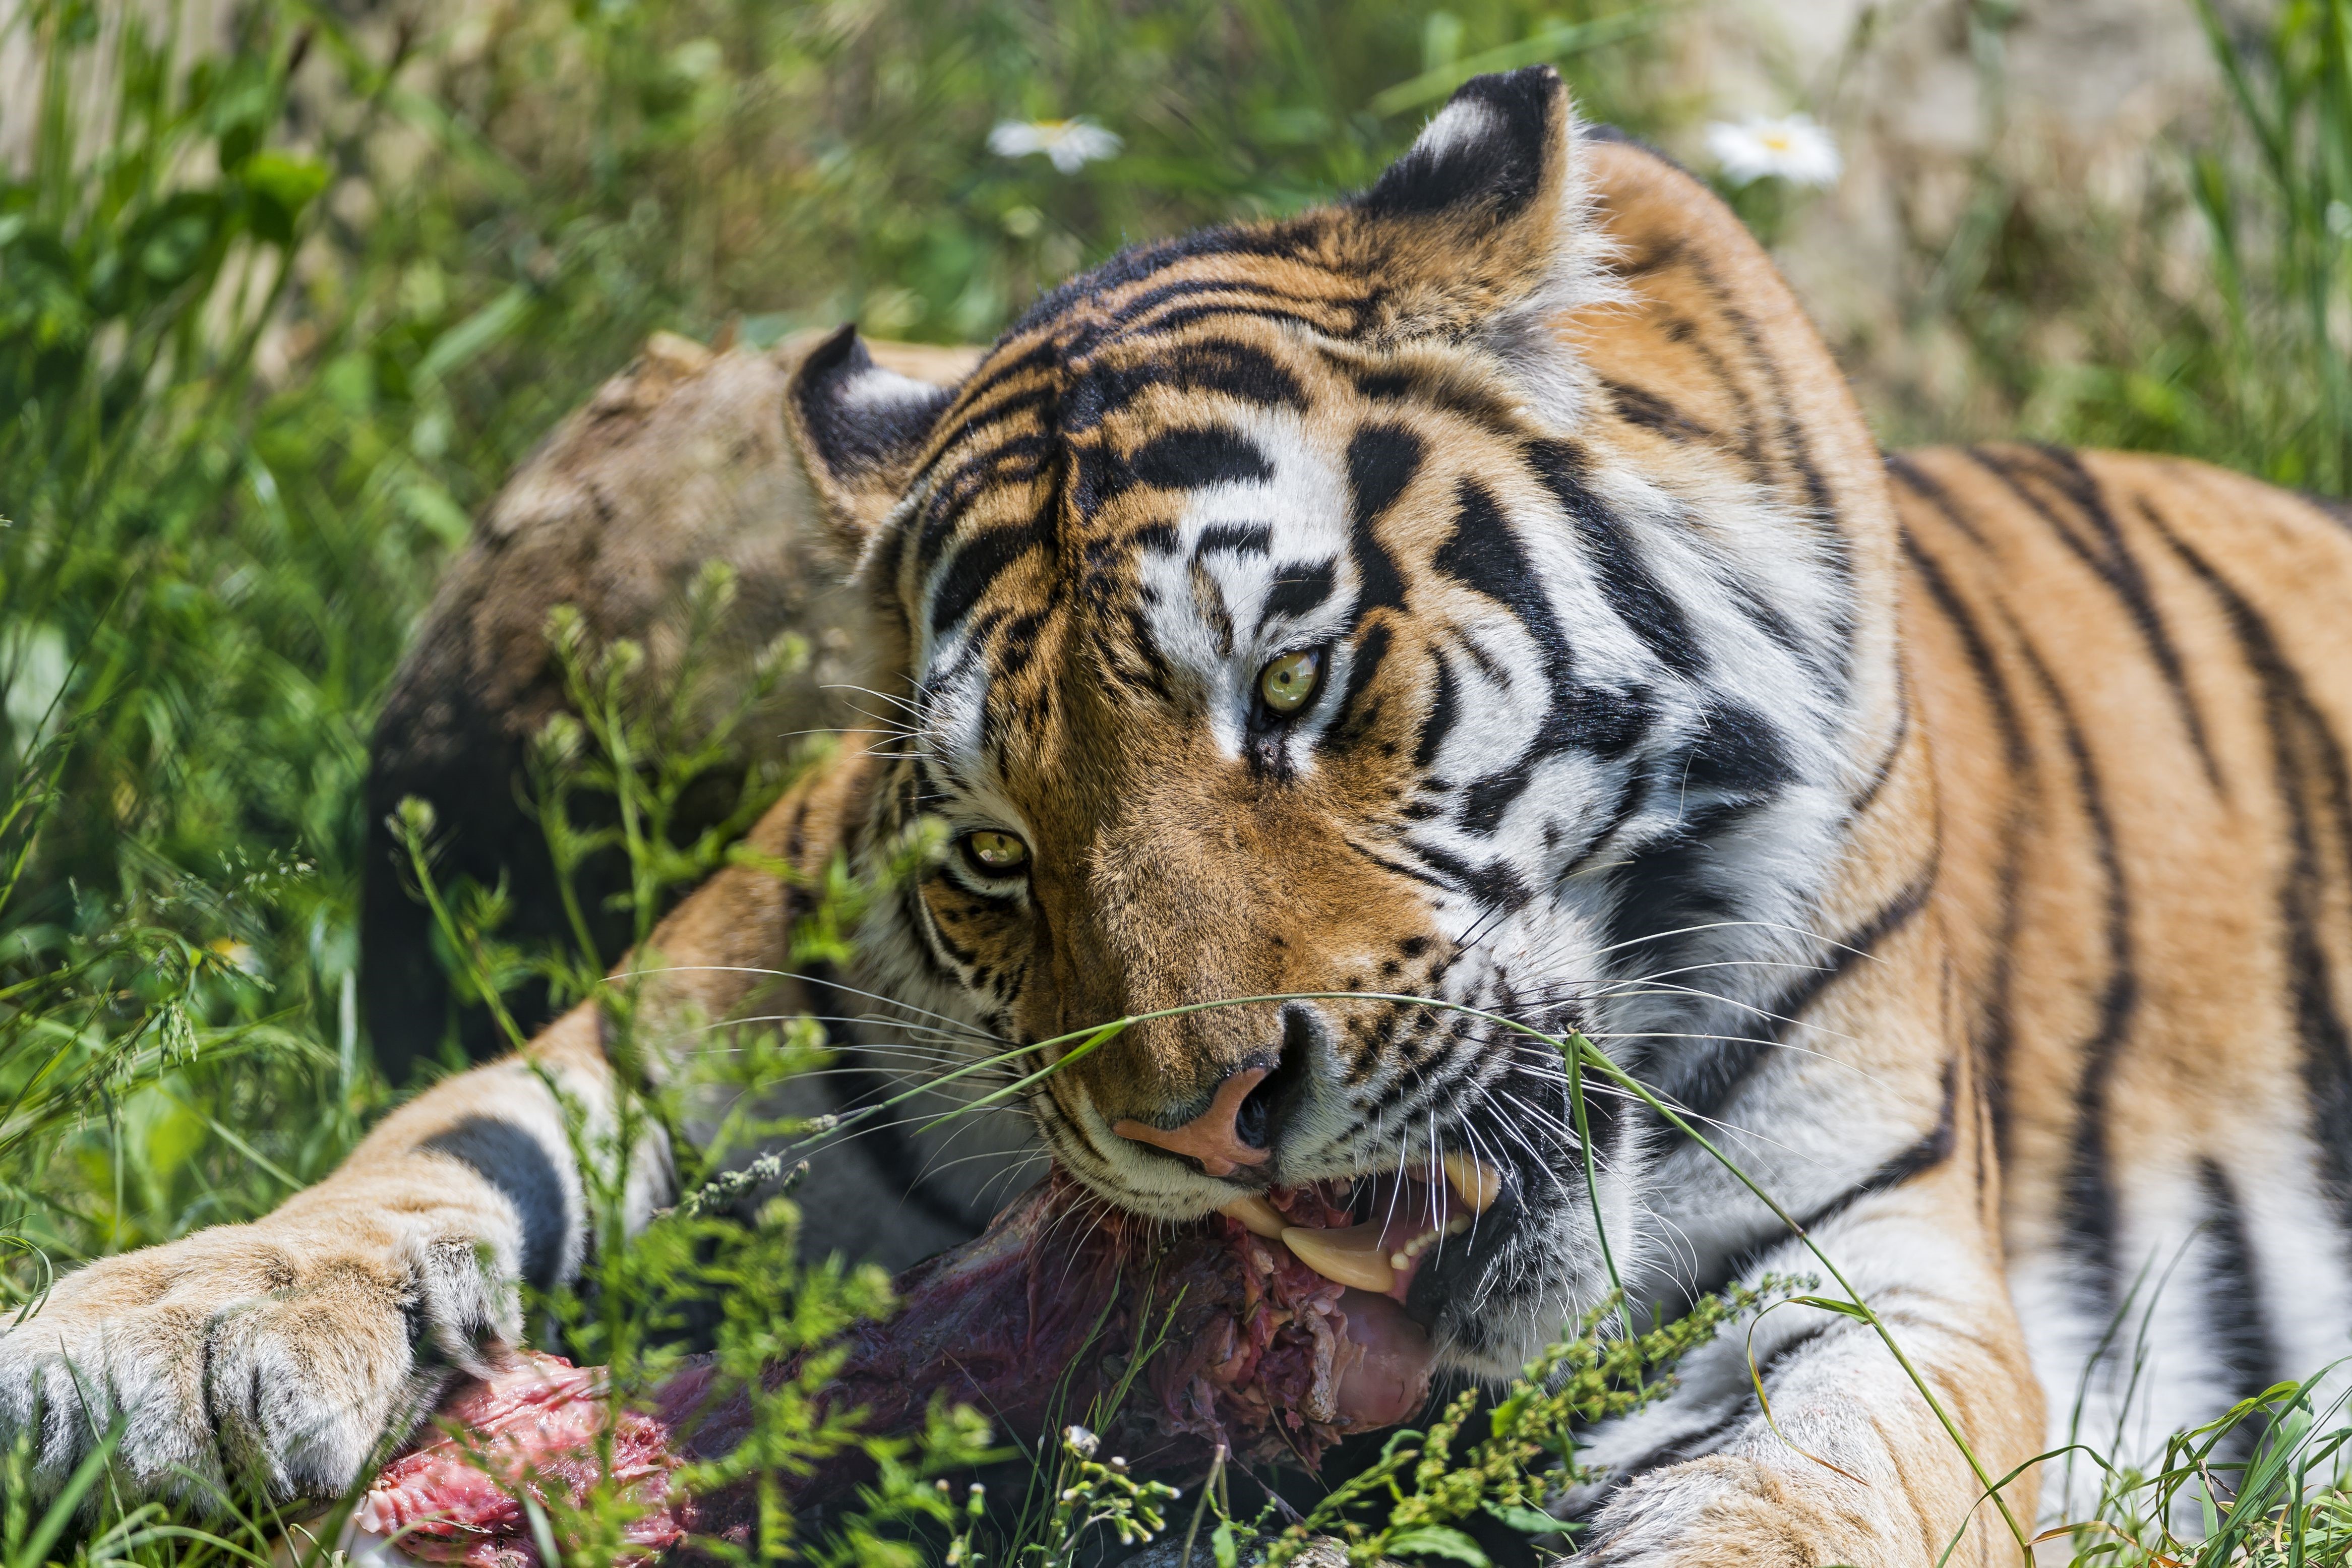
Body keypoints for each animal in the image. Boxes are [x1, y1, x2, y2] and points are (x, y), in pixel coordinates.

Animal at [10, 64, 2352, 1565]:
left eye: (1291, 686)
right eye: (991, 853)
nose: (1205, 1123)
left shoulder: (1874, 1292)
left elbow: (1781, 1505)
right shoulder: (681, 1033)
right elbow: (428, 1153)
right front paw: (162, 1341)